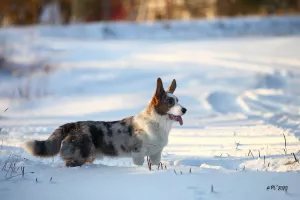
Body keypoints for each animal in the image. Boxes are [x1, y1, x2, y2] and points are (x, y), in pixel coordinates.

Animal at [23, 77, 186, 166]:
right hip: (79, 157)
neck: (157, 123)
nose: (184, 110)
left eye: (178, 100)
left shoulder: (156, 154)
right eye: (170, 102)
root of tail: (72, 125)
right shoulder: (138, 154)